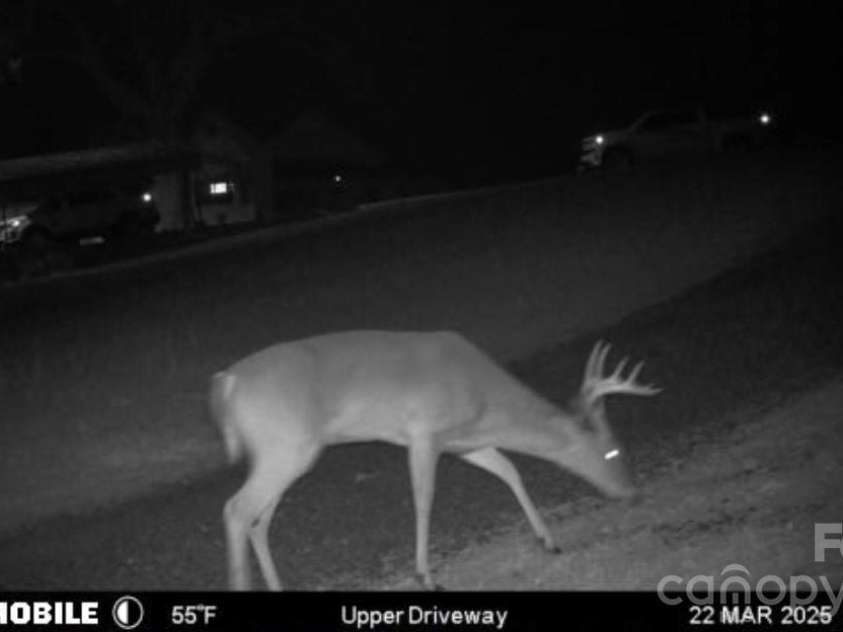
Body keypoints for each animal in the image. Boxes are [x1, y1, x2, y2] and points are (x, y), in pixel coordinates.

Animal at [209, 330, 661, 590]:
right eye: (614, 451)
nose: (635, 493)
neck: (484, 400)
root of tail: (226, 383)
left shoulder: (463, 441)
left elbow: (509, 470)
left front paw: (548, 540)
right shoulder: (424, 433)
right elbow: (424, 499)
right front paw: (425, 575)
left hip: (290, 454)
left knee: (258, 521)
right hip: (286, 447)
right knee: (235, 509)